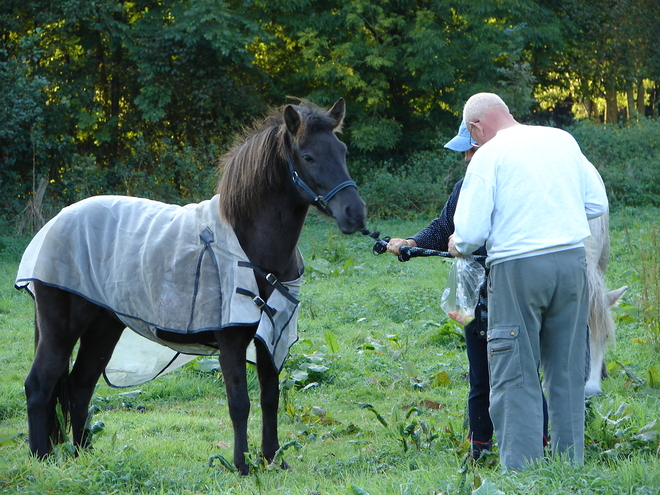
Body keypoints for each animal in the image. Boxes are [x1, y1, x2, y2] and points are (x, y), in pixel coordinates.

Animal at [16, 99, 366, 474]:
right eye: (309, 156)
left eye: (342, 151)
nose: (355, 213)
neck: (250, 242)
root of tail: (54, 223)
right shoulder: (231, 341)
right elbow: (239, 402)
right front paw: (241, 465)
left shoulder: (271, 338)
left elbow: (270, 397)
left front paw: (272, 458)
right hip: (61, 329)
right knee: (40, 384)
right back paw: (40, 457)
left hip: (103, 327)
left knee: (80, 385)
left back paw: (84, 455)